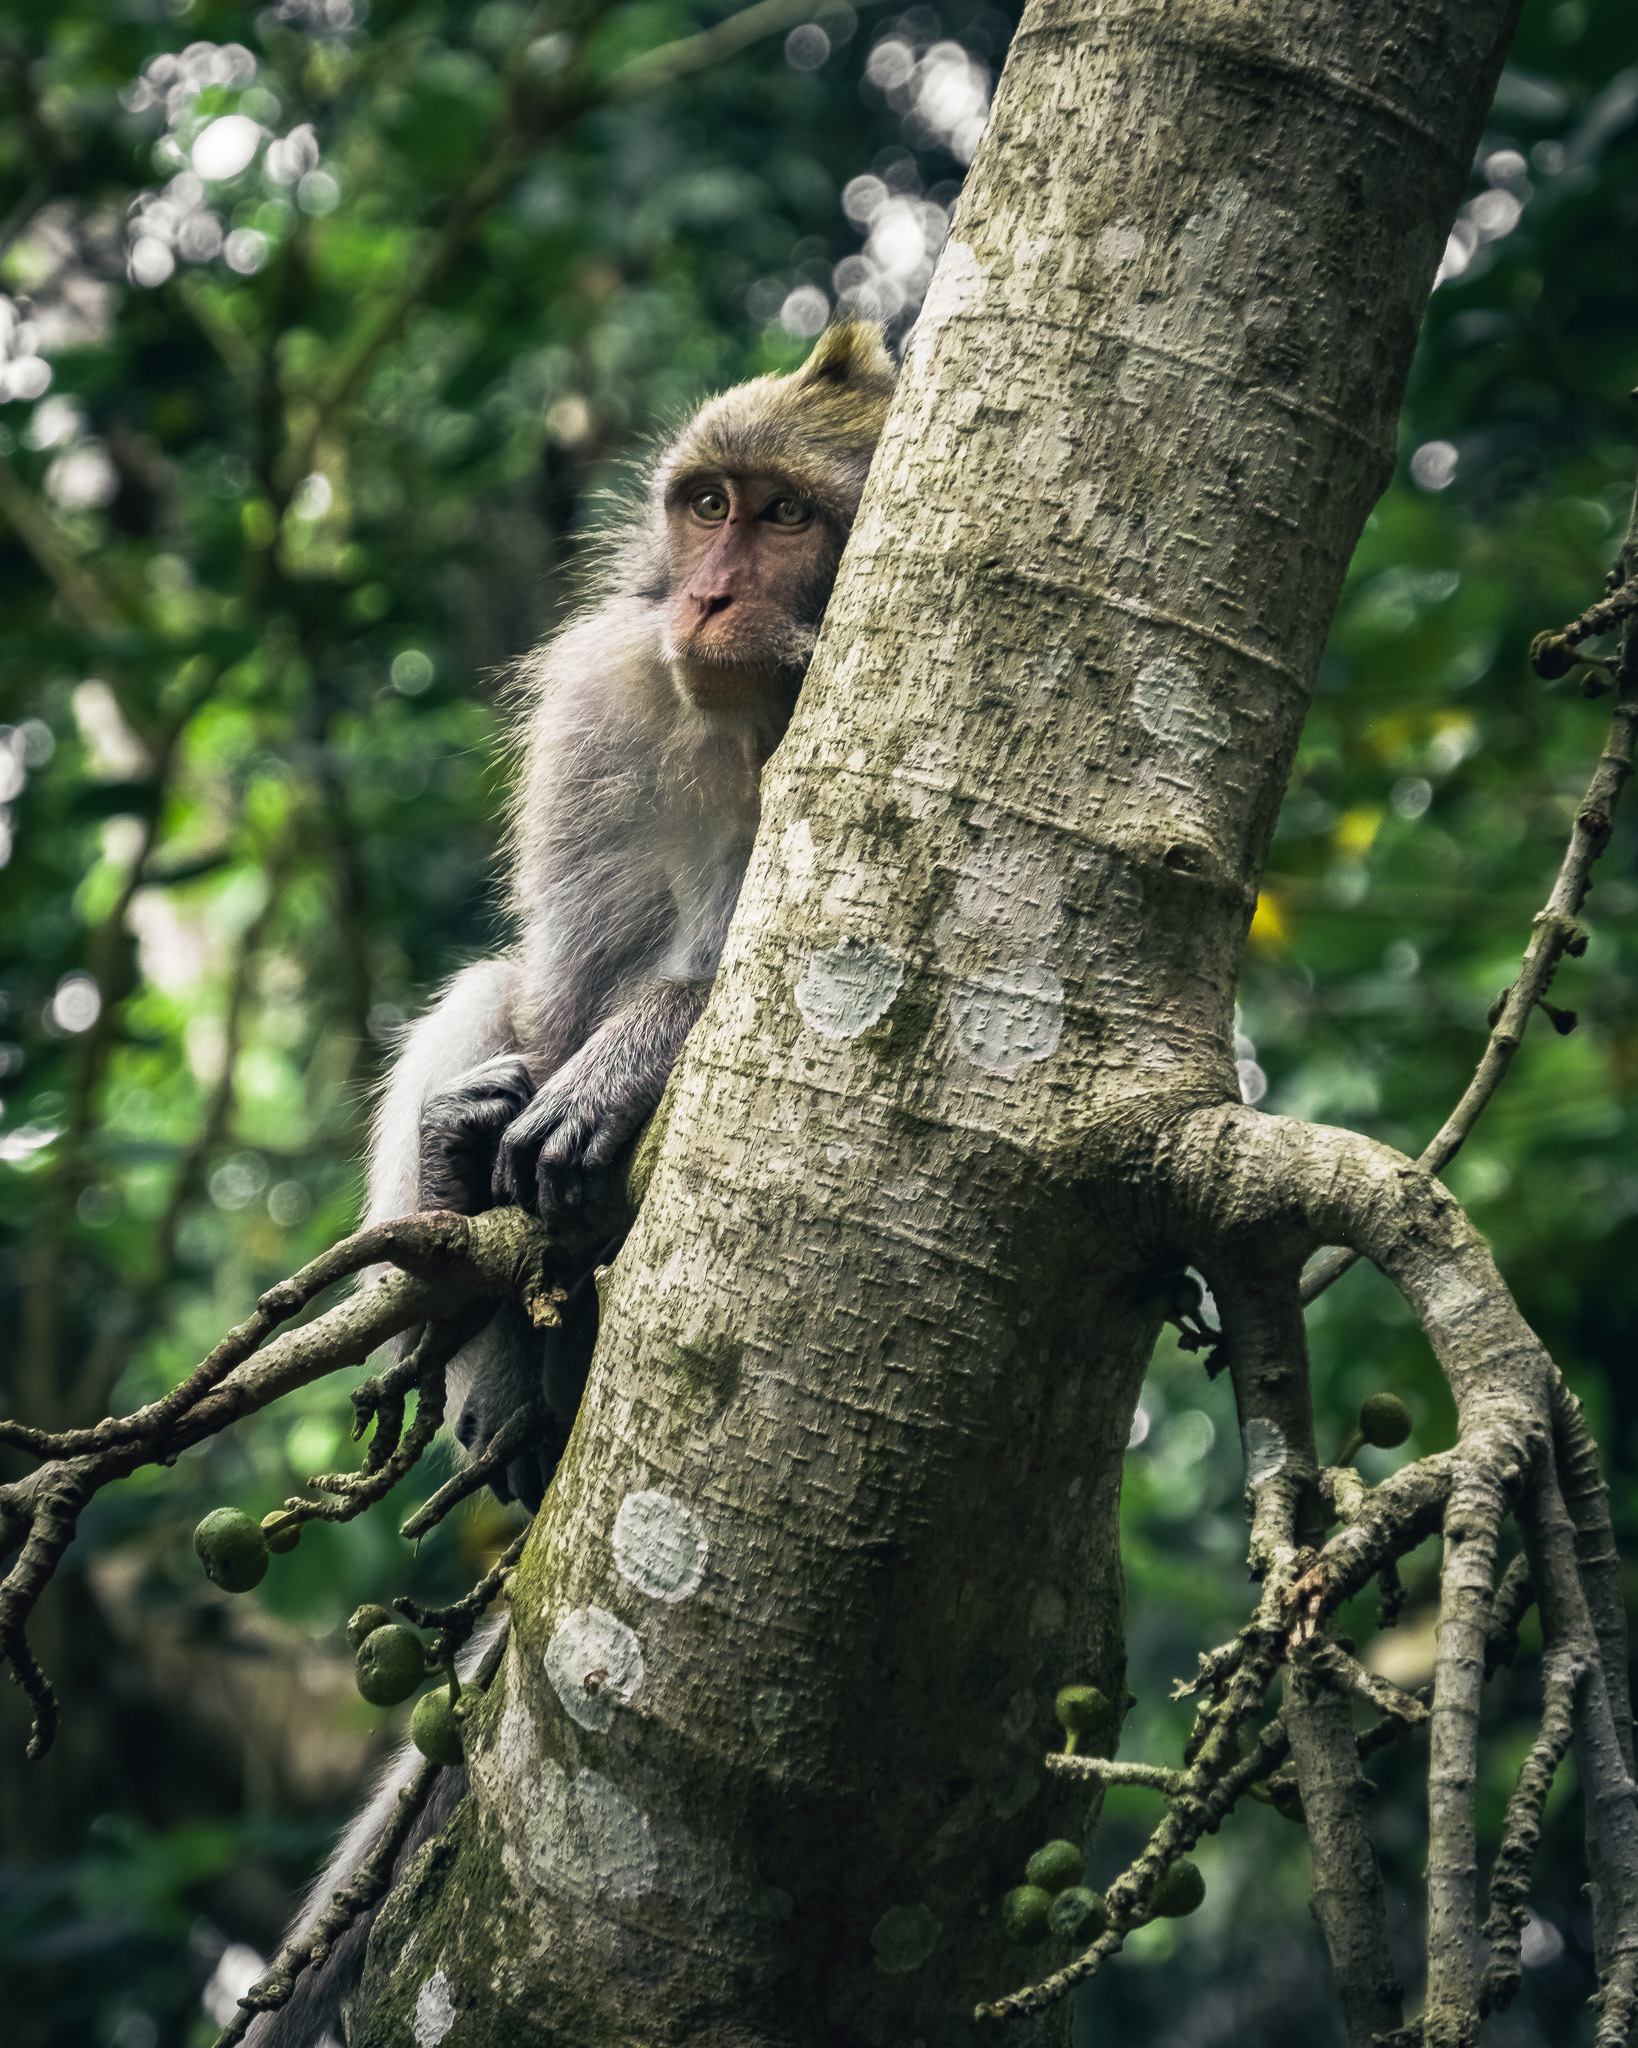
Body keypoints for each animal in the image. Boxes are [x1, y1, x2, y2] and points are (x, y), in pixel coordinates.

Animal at [244, 322, 894, 2047]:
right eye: (708, 504)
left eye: (786, 519)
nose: (707, 598)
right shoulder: (610, 699)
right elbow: (553, 973)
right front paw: (493, 1170)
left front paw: (629, 1063)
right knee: (489, 1005)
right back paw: (470, 1299)